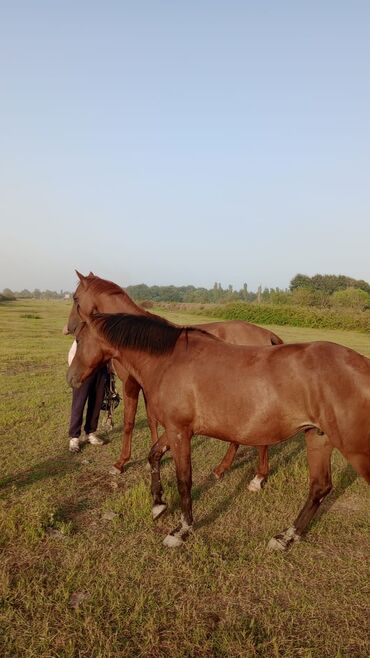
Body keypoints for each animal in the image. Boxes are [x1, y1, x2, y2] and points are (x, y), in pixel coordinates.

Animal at [66, 270, 284, 490]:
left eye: (75, 298)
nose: (70, 328)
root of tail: (268, 335)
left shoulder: (131, 385)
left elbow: (129, 423)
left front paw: (120, 463)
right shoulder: (147, 387)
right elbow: (152, 420)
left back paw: (258, 477)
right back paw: (222, 469)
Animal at [67, 312, 370, 548]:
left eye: (79, 340)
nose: (71, 378)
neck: (169, 360)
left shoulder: (180, 432)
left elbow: (184, 479)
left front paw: (182, 530)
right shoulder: (176, 429)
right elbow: (154, 455)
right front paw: (158, 504)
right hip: (318, 437)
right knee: (319, 487)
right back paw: (285, 537)